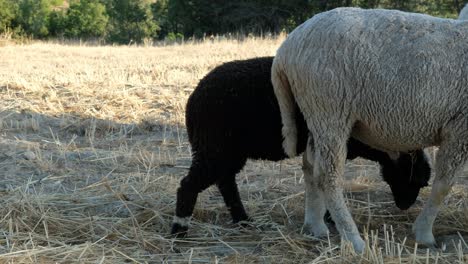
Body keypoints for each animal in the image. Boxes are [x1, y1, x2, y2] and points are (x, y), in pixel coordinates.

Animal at [170, 56, 430, 236]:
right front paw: (331, 219)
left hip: (228, 151)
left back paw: (242, 219)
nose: (404, 206)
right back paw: (179, 229)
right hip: (214, 147)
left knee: (226, 181)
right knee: (190, 184)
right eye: (410, 176)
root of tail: (192, 100)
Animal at [272, 7, 468, 253]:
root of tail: (286, 49)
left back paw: (315, 226)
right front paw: (423, 234)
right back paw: (353, 240)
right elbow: (443, 185)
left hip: (317, 114)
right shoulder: (459, 127)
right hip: (330, 108)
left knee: (309, 164)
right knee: (327, 175)